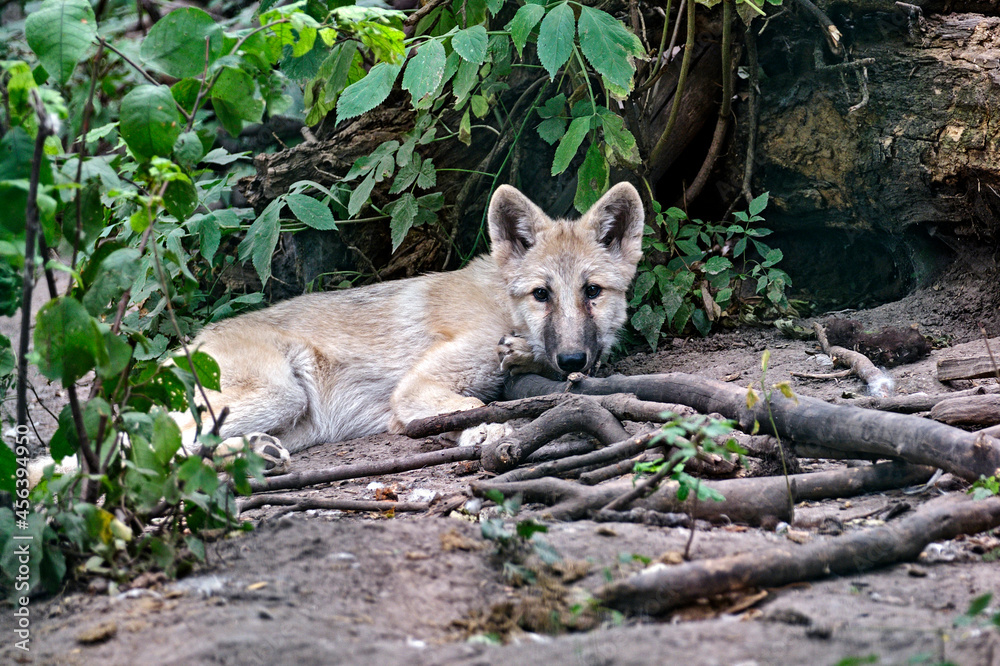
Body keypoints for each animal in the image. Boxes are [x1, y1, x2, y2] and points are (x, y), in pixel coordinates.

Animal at [167, 182, 645, 468]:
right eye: (541, 294)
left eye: (592, 291)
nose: (572, 360)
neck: (503, 310)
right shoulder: (415, 388)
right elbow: (472, 406)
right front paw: (489, 428)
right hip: (281, 396)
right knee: (164, 443)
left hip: (297, 423)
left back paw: (252, 452)